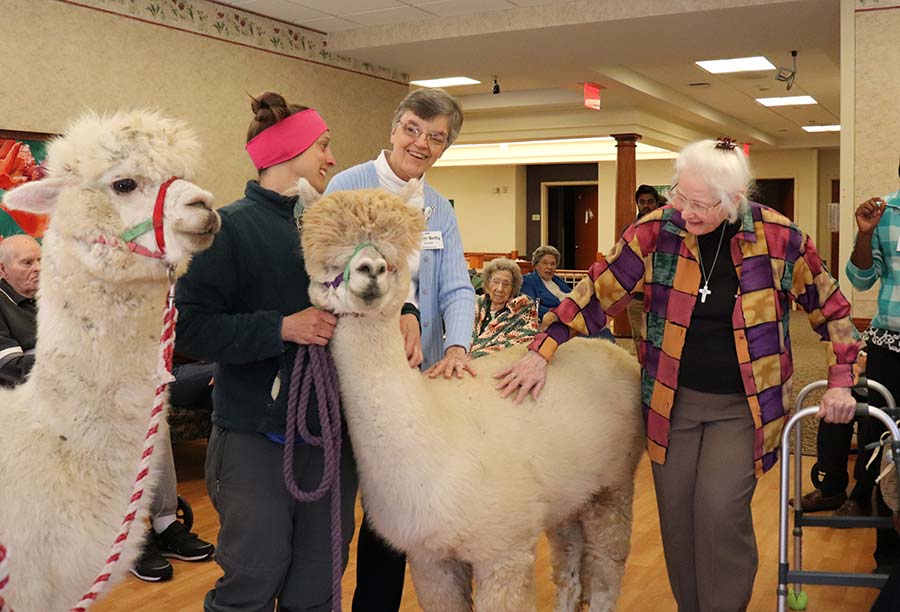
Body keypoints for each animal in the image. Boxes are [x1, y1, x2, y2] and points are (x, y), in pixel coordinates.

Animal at [298, 182, 644, 612]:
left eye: (391, 260)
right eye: (327, 263)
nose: (371, 271)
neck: (436, 433)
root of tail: (615, 353)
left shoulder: (504, 547)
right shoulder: (430, 557)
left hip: (613, 483)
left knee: (606, 566)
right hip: (569, 493)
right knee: (569, 564)